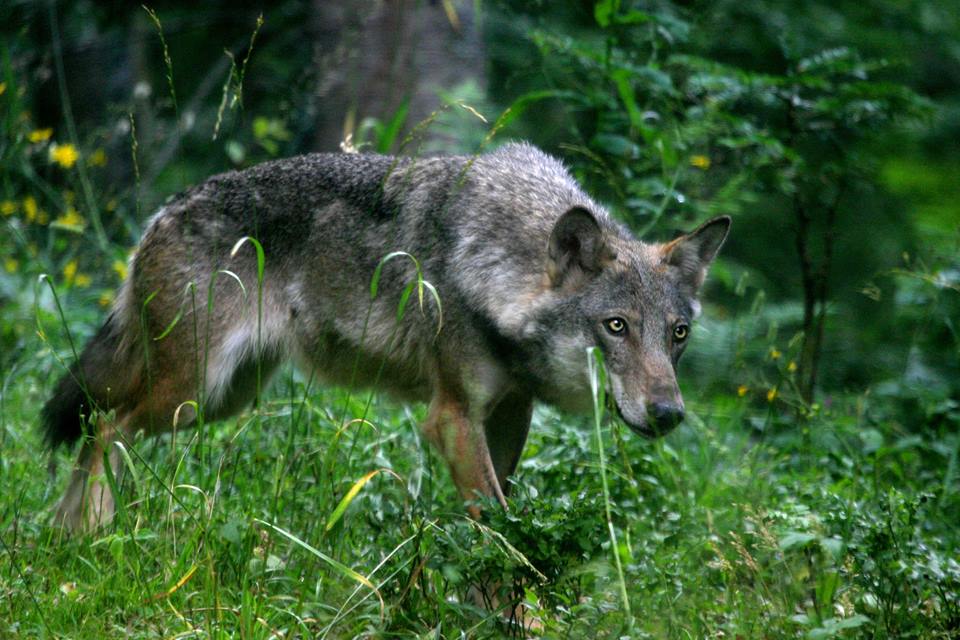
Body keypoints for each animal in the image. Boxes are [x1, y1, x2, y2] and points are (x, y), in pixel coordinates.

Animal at [37, 142, 728, 532]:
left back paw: (66, 536)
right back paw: (90, 531)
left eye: (678, 334)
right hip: (191, 393)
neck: (496, 265)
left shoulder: (510, 414)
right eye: (616, 326)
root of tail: (161, 213)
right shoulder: (451, 417)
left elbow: (503, 518)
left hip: (221, 399)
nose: (669, 413)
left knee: (100, 424)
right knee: (104, 425)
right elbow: (502, 531)